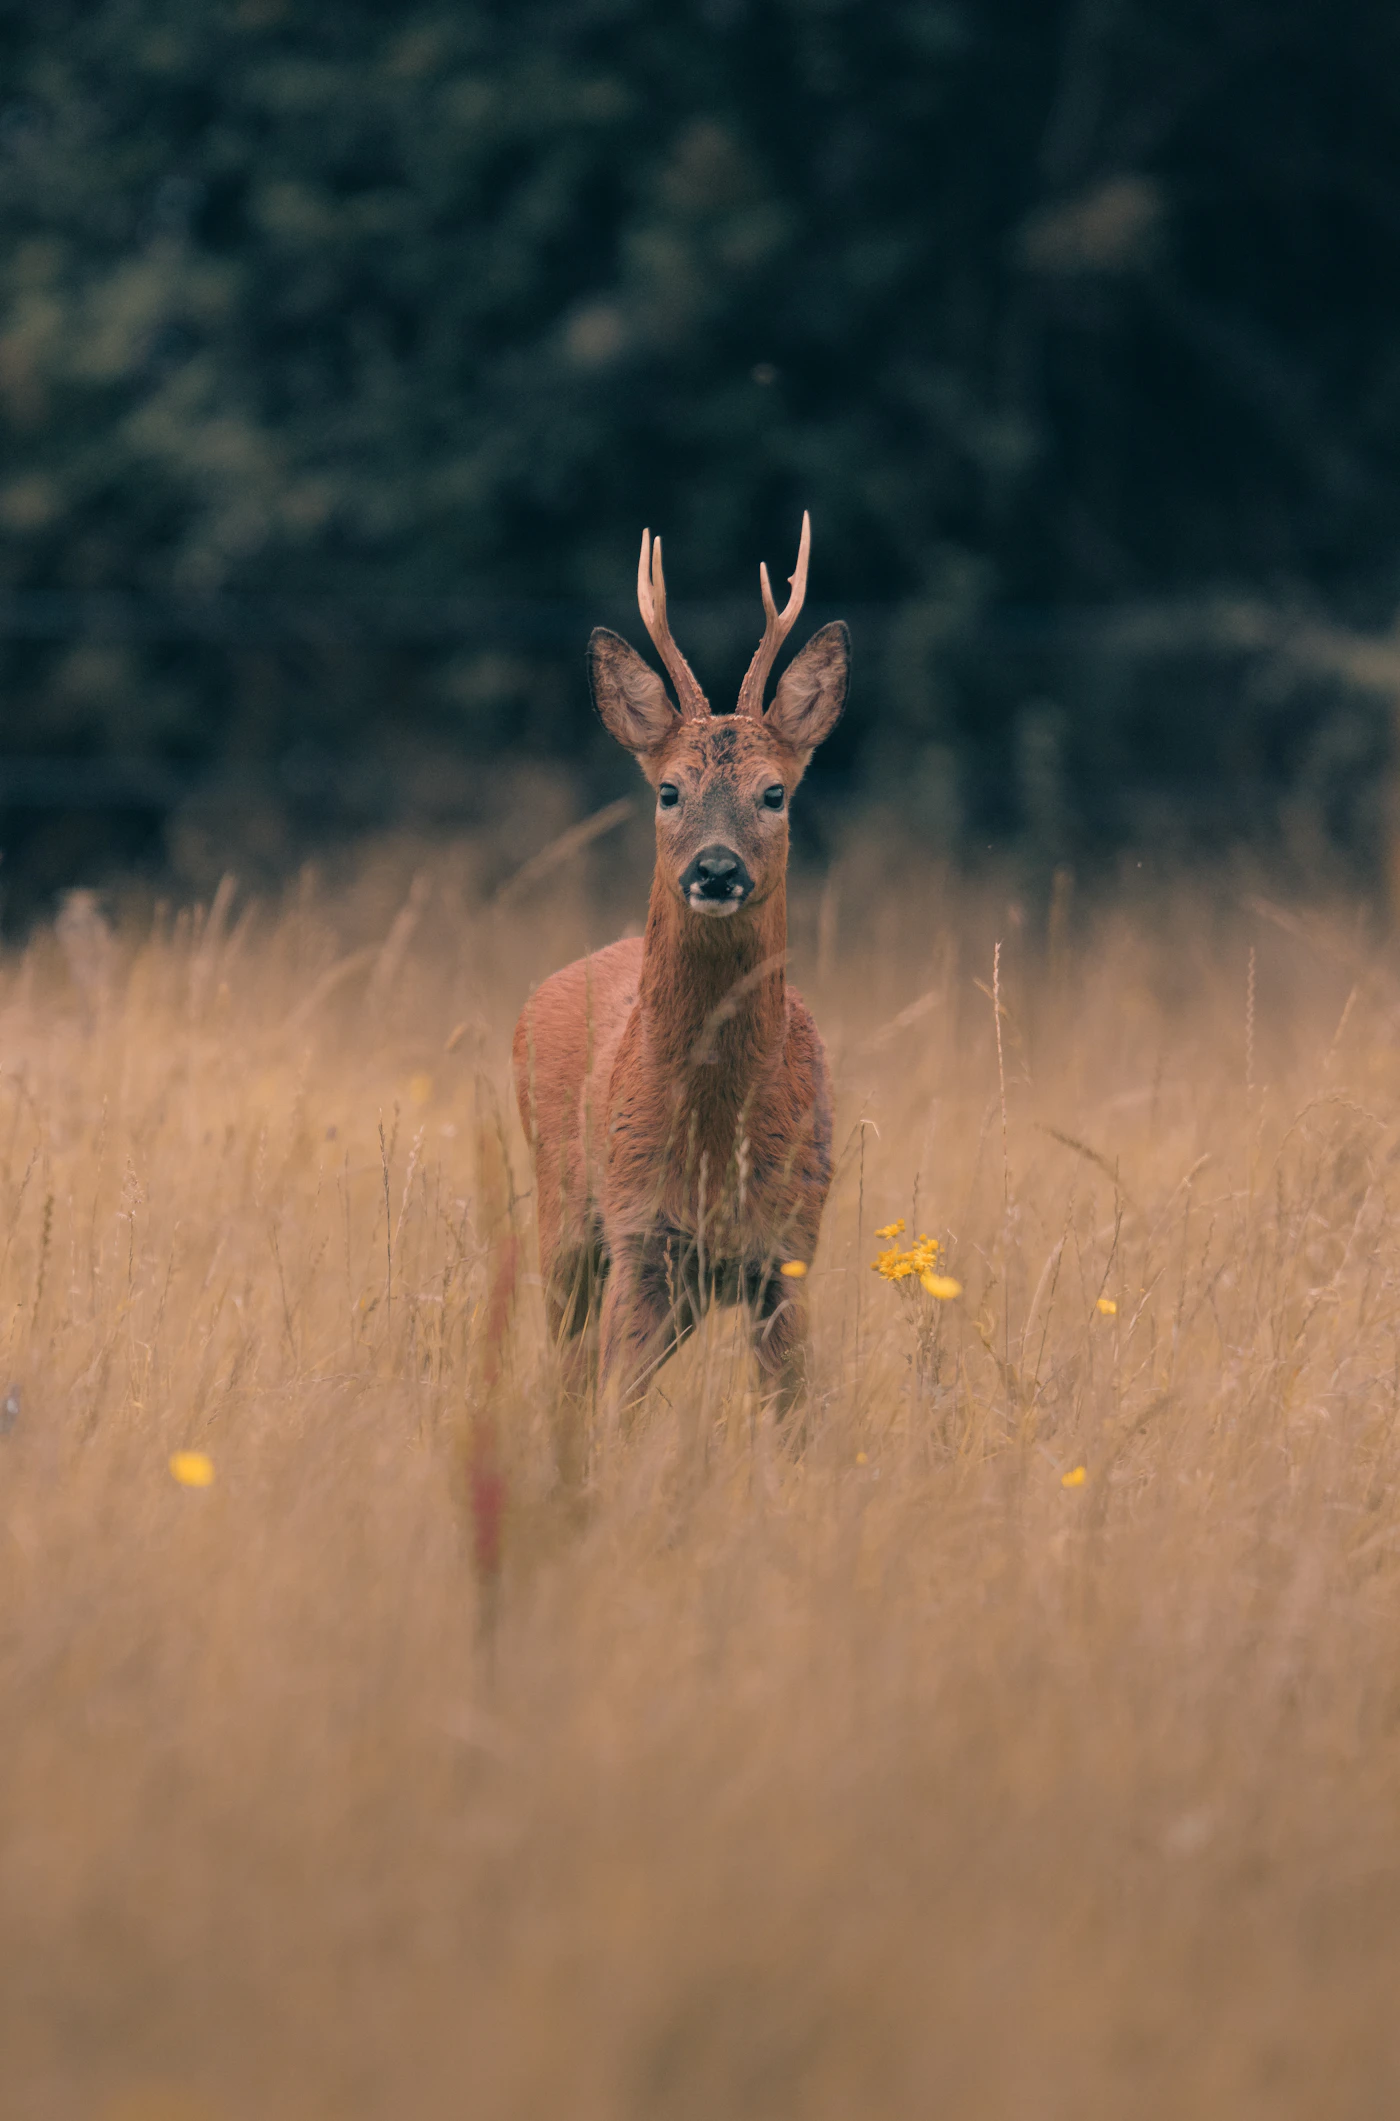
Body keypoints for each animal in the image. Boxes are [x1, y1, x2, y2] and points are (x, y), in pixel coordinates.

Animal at [512, 512, 848, 1423]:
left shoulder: (787, 1251)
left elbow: (799, 1421)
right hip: (563, 1209)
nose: (717, 869)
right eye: (668, 790)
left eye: (774, 792)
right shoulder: (640, 1233)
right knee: (566, 1366)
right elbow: (614, 1408)